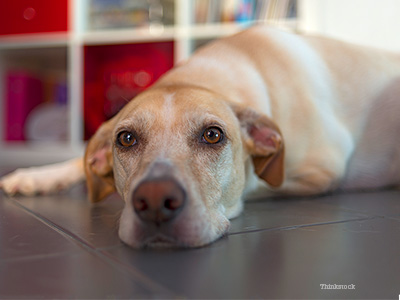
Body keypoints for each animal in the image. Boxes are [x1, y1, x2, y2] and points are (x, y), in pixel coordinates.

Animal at [0, 25, 400, 246]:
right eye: (126, 139)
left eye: (213, 135)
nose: (154, 202)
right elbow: (75, 159)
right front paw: (36, 176)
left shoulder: (322, 171)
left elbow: (255, 182)